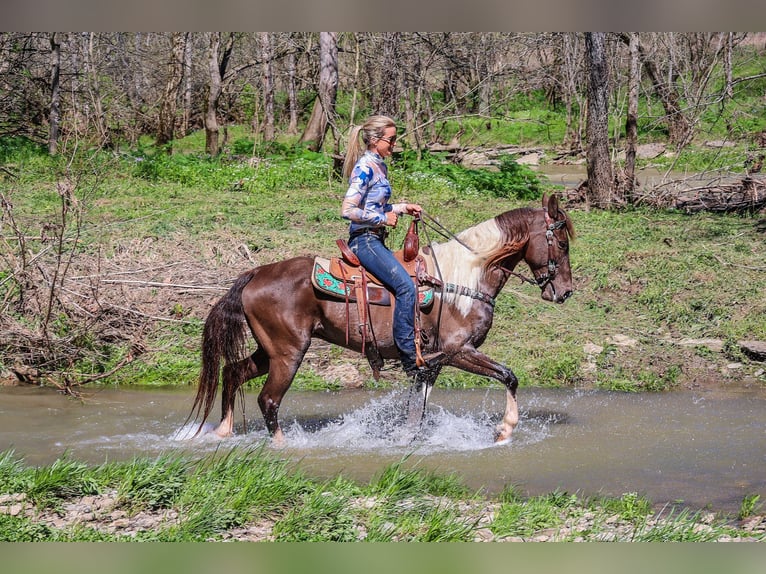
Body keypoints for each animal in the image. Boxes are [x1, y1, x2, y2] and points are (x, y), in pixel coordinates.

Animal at [189, 194, 576, 446]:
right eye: (563, 244)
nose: (565, 292)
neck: (464, 278)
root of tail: (254, 273)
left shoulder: (429, 364)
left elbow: (416, 410)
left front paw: (405, 439)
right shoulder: (458, 351)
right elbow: (509, 376)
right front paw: (505, 430)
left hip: (269, 350)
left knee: (233, 372)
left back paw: (223, 431)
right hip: (288, 353)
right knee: (268, 400)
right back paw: (283, 445)